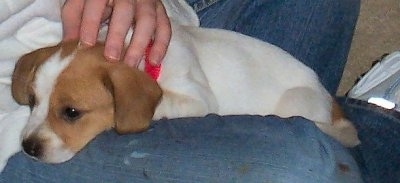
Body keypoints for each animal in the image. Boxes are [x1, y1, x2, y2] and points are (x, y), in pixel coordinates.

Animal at [10, 21, 360, 163]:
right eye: (33, 101)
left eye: (71, 113)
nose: (27, 147)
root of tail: (331, 103)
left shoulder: (198, 99)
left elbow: (164, 101)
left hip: (293, 103)